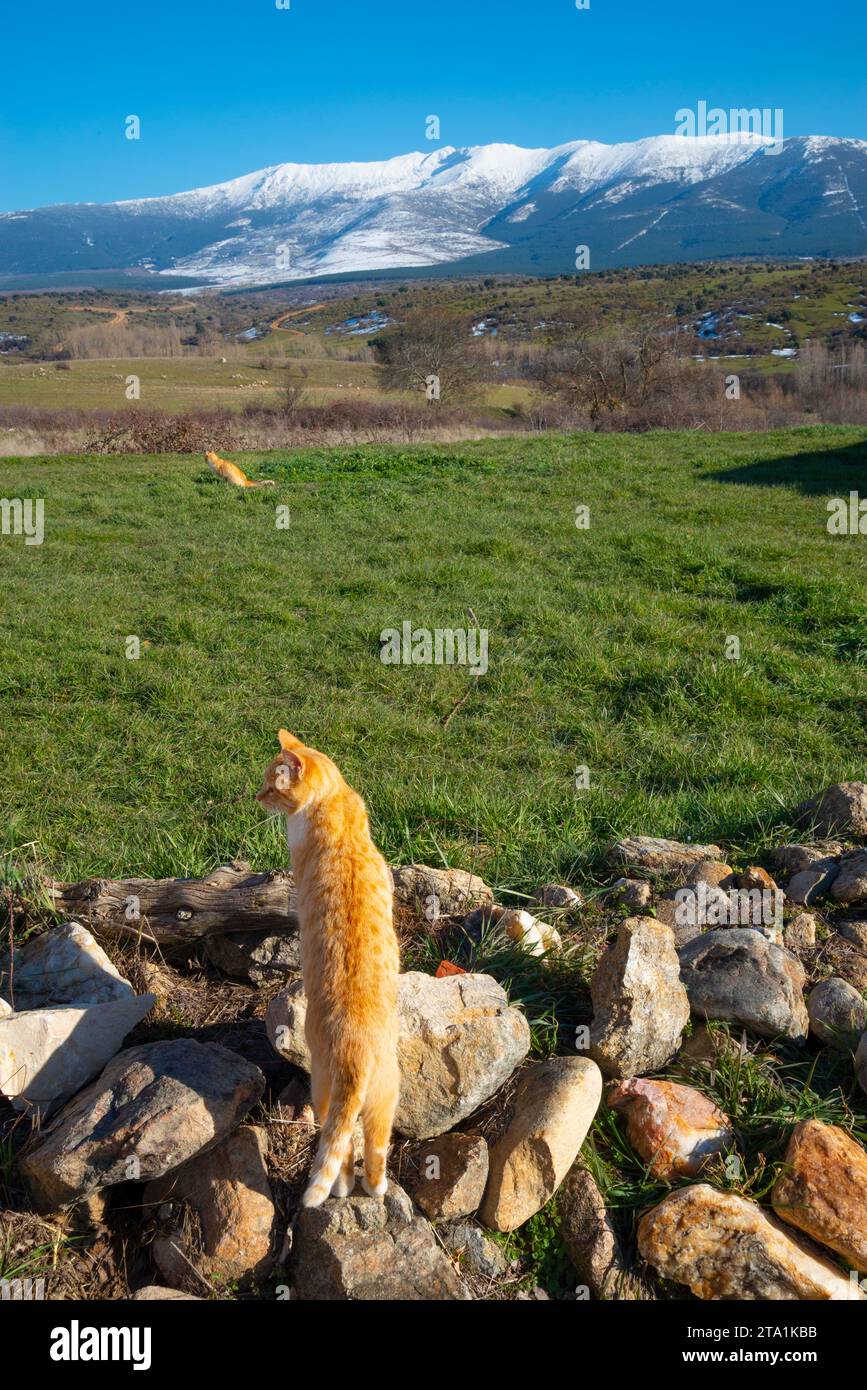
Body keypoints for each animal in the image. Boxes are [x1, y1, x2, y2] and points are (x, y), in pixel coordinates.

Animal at [252, 728, 397, 1206]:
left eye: (272, 786)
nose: (256, 797)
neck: (333, 802)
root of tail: (357, 1053)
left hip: (321, 1089)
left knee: (341, 1150)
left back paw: (339, 1190)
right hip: (386, 1096)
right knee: (373, 1148)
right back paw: (375, 1189)